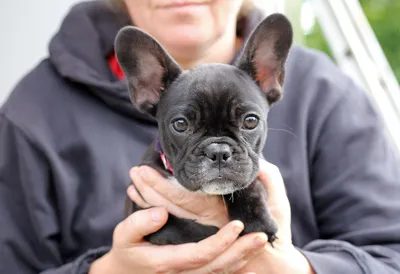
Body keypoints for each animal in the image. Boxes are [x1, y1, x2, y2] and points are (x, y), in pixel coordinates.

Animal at [114, 13, 292, 246]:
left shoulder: (254, 166)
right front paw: (212, 233)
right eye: (180, 125)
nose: (218, 152)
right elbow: (178, 228)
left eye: (251, 121)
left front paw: (257, 222)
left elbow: (250, 185)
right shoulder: (143, 212)